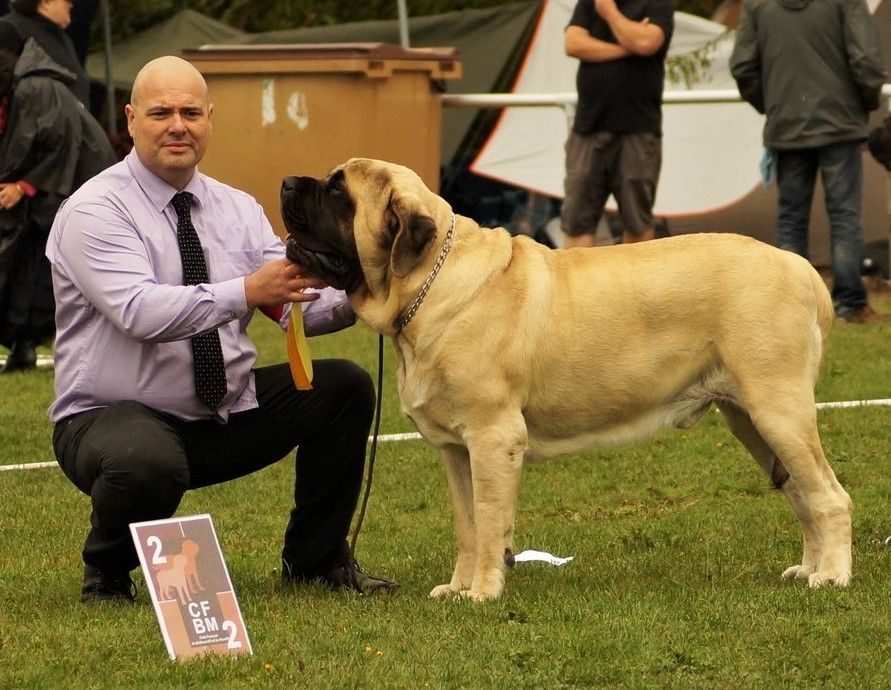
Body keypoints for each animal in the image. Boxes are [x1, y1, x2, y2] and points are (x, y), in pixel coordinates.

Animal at [282, 156, 852, 596]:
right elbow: (468, 525)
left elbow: (489, 521)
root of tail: (800, 266)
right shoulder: (456, 450)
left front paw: (483, 592)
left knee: (830, 496)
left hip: (778, 410)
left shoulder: (493, 438)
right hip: (751, 420)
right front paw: (458, 587)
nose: (287, 183)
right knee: (802, 495)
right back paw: (808, 569)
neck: (430, 283)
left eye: (338, 190)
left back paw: (832, 577)